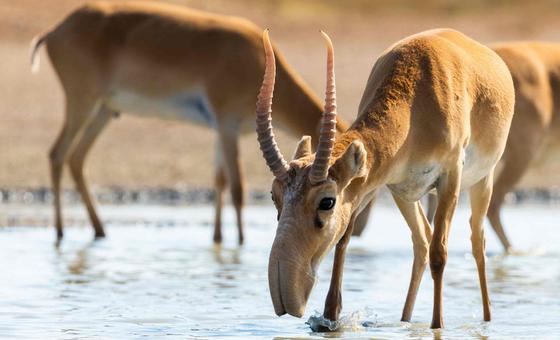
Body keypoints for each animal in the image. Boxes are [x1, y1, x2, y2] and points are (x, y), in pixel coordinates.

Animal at [28, 0, 352, 244]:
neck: (258, 59)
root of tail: (55, 30)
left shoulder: (221, 130)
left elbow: (219, 180)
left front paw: (218, 238)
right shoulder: (227, 126)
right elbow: (238, 188)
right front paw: (241, 242)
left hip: (105, 111)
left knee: (76, 158)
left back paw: (100, 230)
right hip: (82, 103)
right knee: (57, 153)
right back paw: (60, 232)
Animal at [256, 29, 516, 330]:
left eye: (326, 201)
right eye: (274, 196)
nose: (285, 293)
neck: (416, 103)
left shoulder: (450, 176)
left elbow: (440, 253)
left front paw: (437, 325)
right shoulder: (373, 183)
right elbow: (344, 240)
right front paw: (329, 319)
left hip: (481, 182)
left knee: (476, 241)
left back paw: (486, 319)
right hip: (406, 195)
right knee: (421, 242)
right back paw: (405, 320)